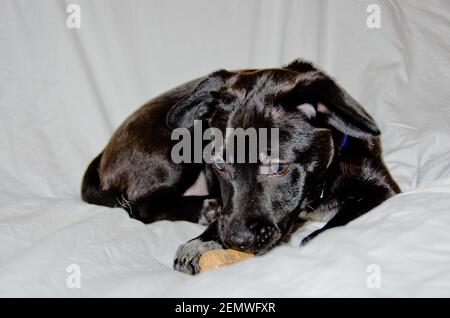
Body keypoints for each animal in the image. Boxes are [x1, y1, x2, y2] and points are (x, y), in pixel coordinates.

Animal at [81, 60, 398, 274]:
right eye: (219, 165)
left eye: (278, 167)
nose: (236, 241)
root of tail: (104, 153)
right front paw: (202, 241)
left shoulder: (382, 190)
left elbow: (335, 223)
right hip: (173, 150)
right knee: (140, 207)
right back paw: (206, 207)